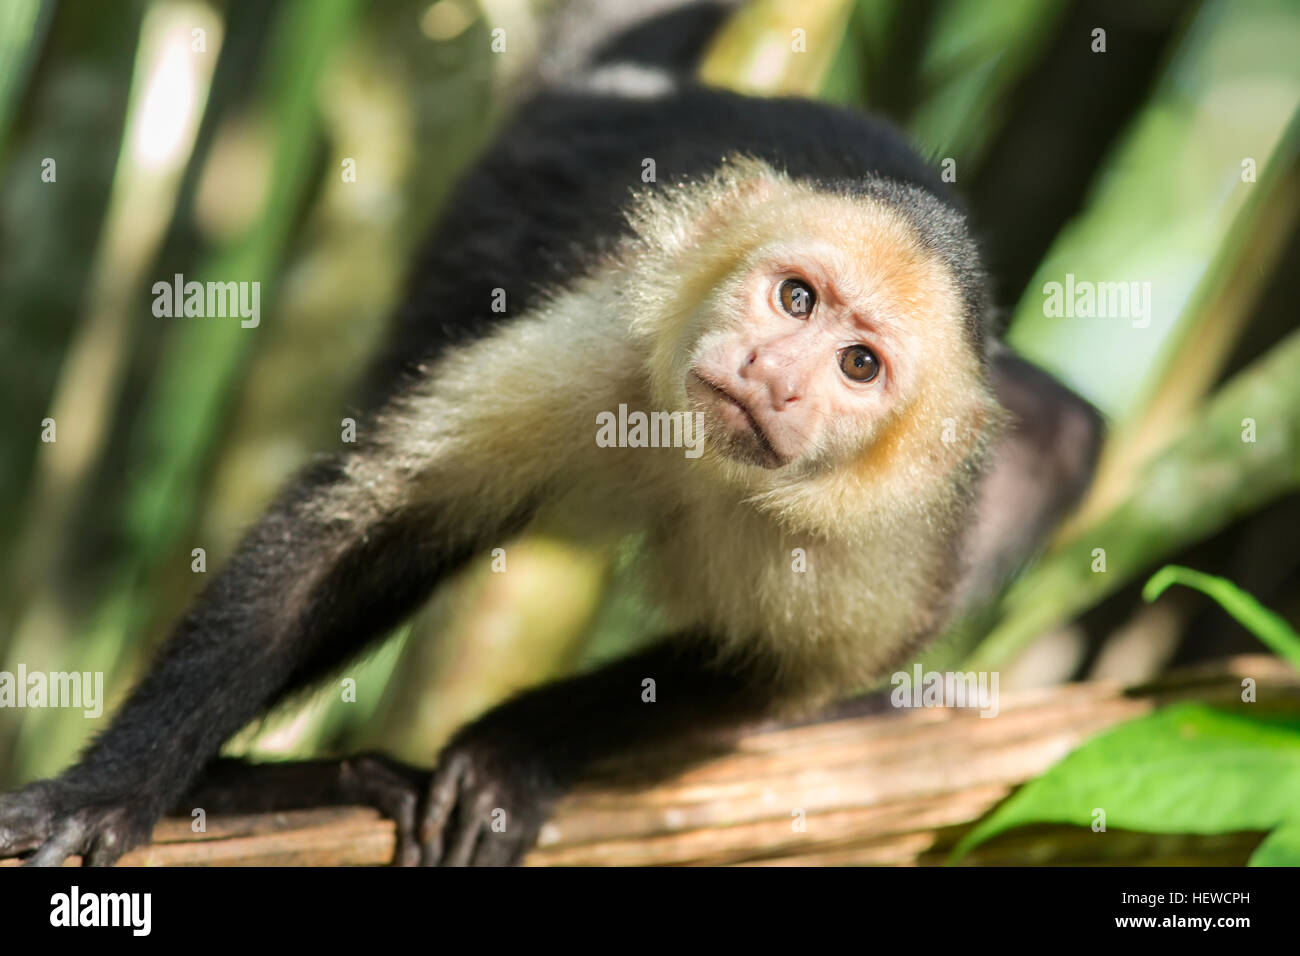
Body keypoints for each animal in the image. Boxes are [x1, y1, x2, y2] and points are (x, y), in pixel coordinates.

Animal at [0, 0, 1101, 867]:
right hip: (509, 192)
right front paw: (112, 790)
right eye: (796, 298)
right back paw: (263, 788)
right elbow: (356, 527)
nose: (774, 377)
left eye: (858, 365)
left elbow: (779, 676)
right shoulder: (605, 339)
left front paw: (507, 756)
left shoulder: (889, 532)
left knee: (1058, 433)